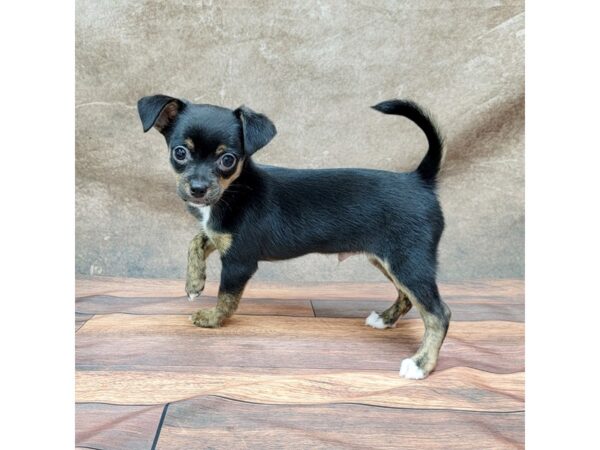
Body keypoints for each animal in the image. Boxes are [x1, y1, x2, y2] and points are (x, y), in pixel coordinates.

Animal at [137, 96, 450, 380]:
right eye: (180, 153)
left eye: (227, 160)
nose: (198, 189)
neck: (234, 189)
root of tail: (419, 180)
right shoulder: (220, 235)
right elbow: (196, 241)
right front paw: (194, 283)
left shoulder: (239, 261)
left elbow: (226, 295)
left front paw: (213, 318)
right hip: (389, 260)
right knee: (407, 297)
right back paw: (385, 319)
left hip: (407, 262)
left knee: (438, 313)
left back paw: (421, 364)